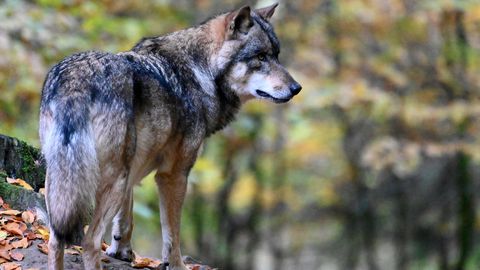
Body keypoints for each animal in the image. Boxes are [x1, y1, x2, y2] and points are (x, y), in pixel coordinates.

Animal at [39, 3, 300, 268]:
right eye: (261, 57)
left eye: (277, 55)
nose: (296, 88)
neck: (202, 73)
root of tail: (76, 80)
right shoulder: (173, 175)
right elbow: (172, 234)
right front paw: (176, 265)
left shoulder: (134, 170)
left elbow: (126, 218)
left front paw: (121, 251)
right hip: (112, 178)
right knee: (89, 241)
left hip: (62, 179)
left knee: (55, 239)